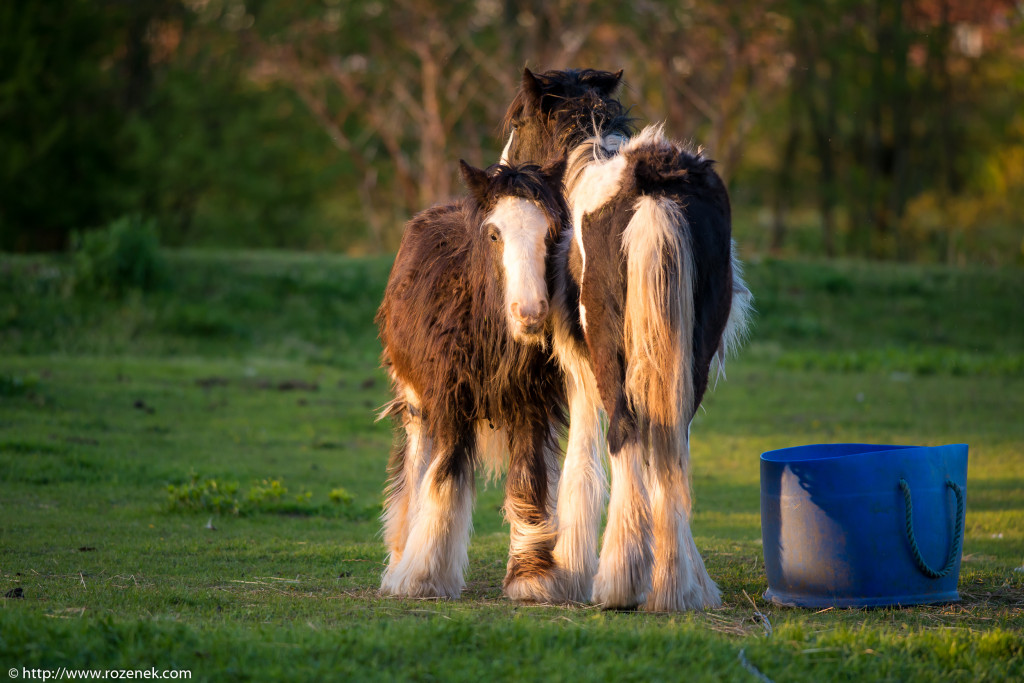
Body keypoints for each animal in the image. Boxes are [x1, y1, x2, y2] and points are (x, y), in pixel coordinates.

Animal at [376, 157, 573, 602]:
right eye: (495, 233)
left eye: (551, 232)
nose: (530, 314)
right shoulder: (449, 400)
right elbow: (444, 473)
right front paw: (423, 577)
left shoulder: (532, 405)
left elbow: (528, 478)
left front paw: (531, 577)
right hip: (415, 399)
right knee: (415, 464)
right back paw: (399, 559)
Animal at [501, 70, 753, 614]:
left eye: (517, 120)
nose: (505, 170)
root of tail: (653, 188)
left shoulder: (578, 366)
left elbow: (581, 464)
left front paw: (571, 572)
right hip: (690, 355)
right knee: (671, 440)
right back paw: (678, 585)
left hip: (609, 352)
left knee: (625, 432)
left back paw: (619, 581)